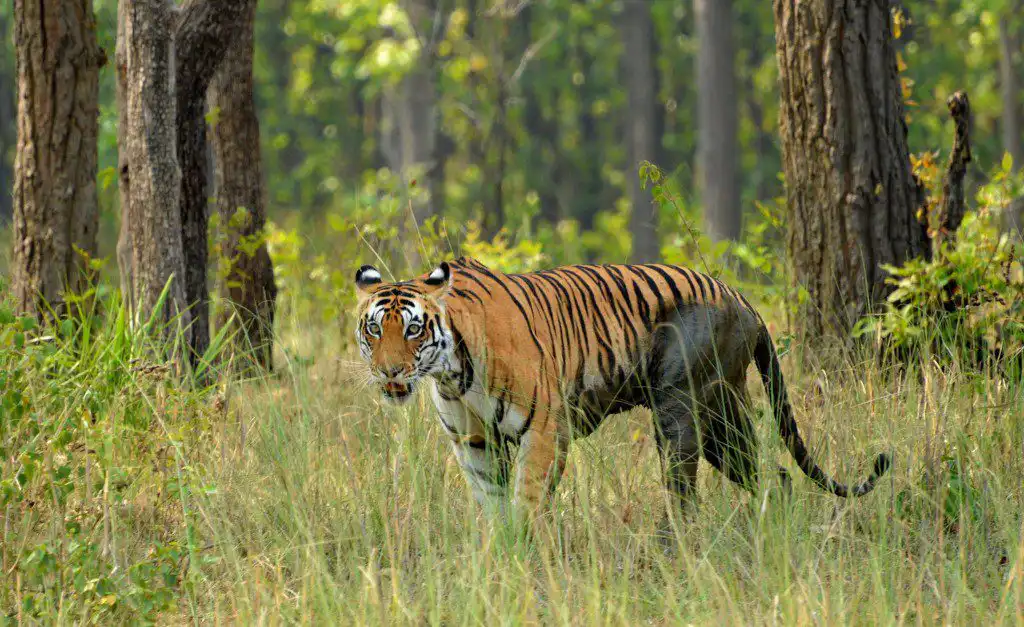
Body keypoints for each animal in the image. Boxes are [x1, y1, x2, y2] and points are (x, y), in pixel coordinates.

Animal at [354, 257, 891, 531]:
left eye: (415, 329)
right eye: (375, 329)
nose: (389, 371)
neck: (452, 373)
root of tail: (743, 299)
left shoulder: (544, 430)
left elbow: (527, 501)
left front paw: (525, 556)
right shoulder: (475, 441)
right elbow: (491, 504)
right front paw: (497, 559)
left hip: (683, 406)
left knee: (683, 493)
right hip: (721, 421)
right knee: (773, 475)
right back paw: (773, 532)